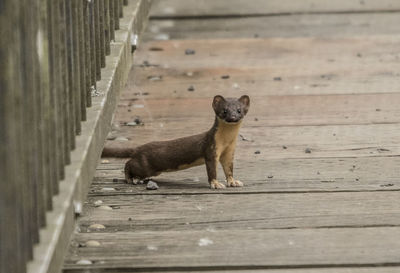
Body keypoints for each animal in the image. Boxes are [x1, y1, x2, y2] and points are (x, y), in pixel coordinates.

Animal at [101, 94, 250, 188]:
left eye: (239, 110)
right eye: (224, 110)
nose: (233, 117)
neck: (226, 141)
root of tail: (139, 147)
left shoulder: (229, 152)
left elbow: (229, 169)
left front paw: (234, 182)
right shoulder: (211, 149)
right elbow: (212, 170)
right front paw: (216, 184)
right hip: (145, 166)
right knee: (128, 164)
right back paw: (131, 179)